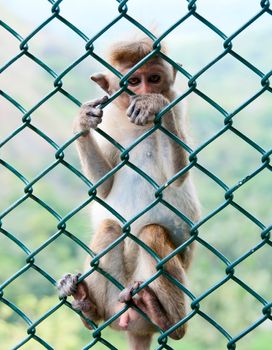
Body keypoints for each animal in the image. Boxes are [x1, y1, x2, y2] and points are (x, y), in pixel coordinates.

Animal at [57, 37, 201, 348]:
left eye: (154, 78)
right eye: (134, 81)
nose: (145, 92)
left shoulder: (179, 106)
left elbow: (178, 175)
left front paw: (155, 104)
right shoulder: (110, 119)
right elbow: (102, 187)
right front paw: (82, 121)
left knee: (152, 233)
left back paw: (165, 319)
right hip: (117, 297)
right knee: (110, 228)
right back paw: (87, 305)